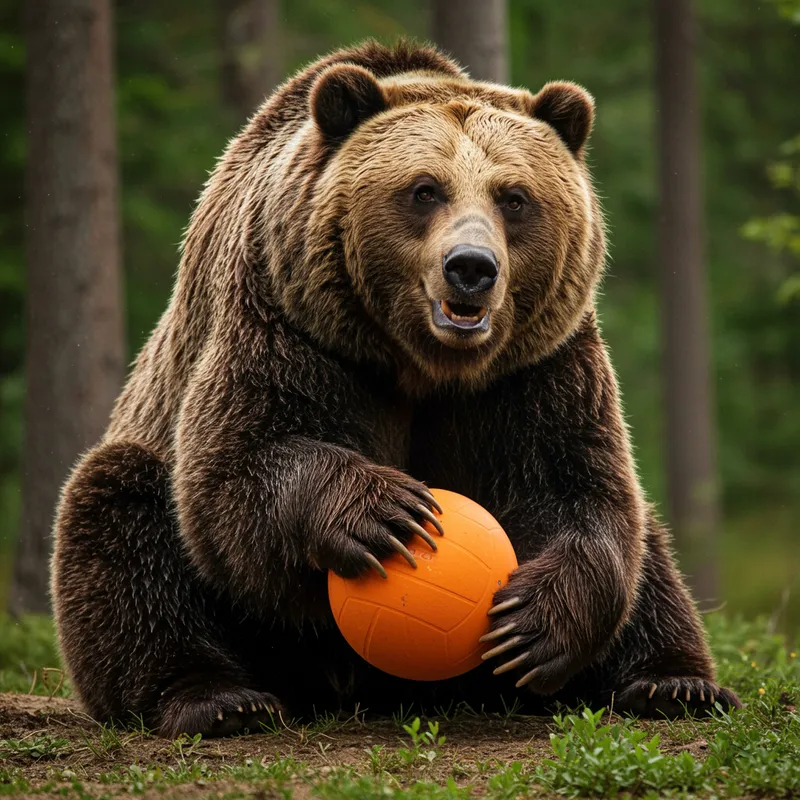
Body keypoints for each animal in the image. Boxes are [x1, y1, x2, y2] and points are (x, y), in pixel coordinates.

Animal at [51, 39, 741, 739]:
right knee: (118, 518)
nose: (471, 267)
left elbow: (575, 485)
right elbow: (239, 464)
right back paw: (219, 699)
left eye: (514, 197)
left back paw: (672, 684)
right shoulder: (289, 321)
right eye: (424, 189)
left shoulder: (535, 367)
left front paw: (533, 625)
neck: (423, 363)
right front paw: (388, 511)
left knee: (650, 555)